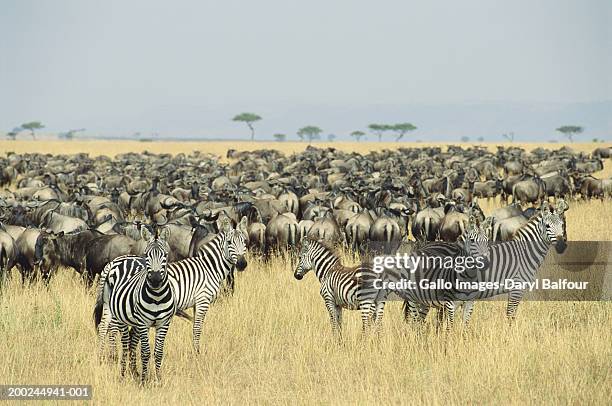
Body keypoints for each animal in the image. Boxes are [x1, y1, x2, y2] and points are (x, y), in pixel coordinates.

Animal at [94, 227, 175, 382]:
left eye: (165, 255)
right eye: (147, 254)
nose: (155, 280)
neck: (157, 296)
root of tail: (118, 260)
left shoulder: (164, 323)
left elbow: (158, 352)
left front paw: (158, 379)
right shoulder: (143, 323)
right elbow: (145, 352)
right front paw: (144, 380)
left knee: (129, 340)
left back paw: (132, 371)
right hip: (114, 310)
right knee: (114, 334)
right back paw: (114, 366)